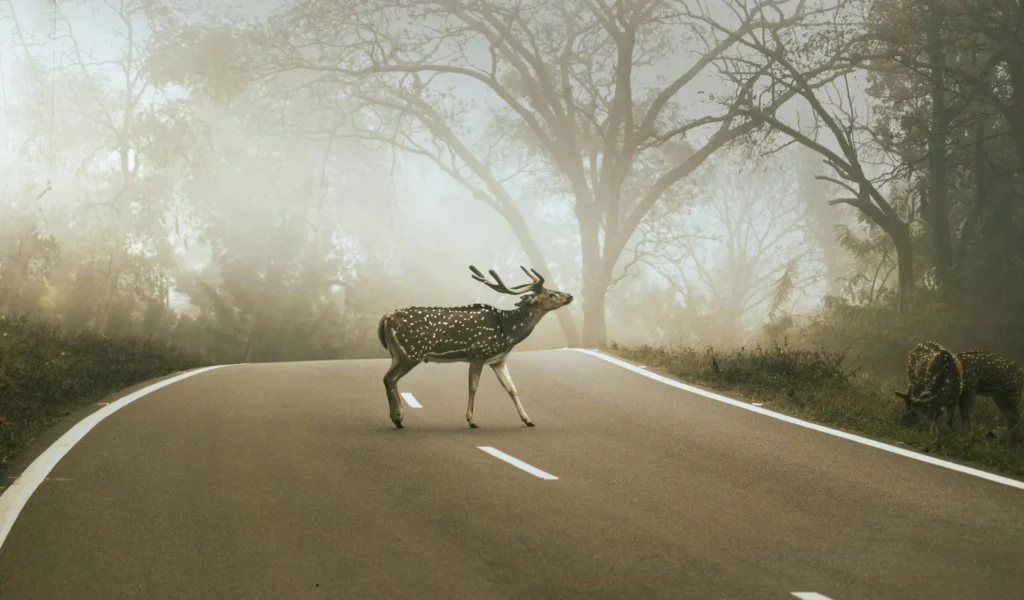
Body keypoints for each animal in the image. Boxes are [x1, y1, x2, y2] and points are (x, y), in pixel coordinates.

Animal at [376, 265, 574, 429]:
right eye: (551, 294)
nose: (570, 296)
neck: (507, 331)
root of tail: (385, 318)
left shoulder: (498, 360)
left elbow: (511, 388)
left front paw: (528, 420)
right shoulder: (478, 353)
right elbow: (473, 386)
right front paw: (471, 420)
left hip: (398, 353)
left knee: (389, 378)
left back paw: (397, 418)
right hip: (410, 353)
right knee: (389, 378)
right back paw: (398, 418)